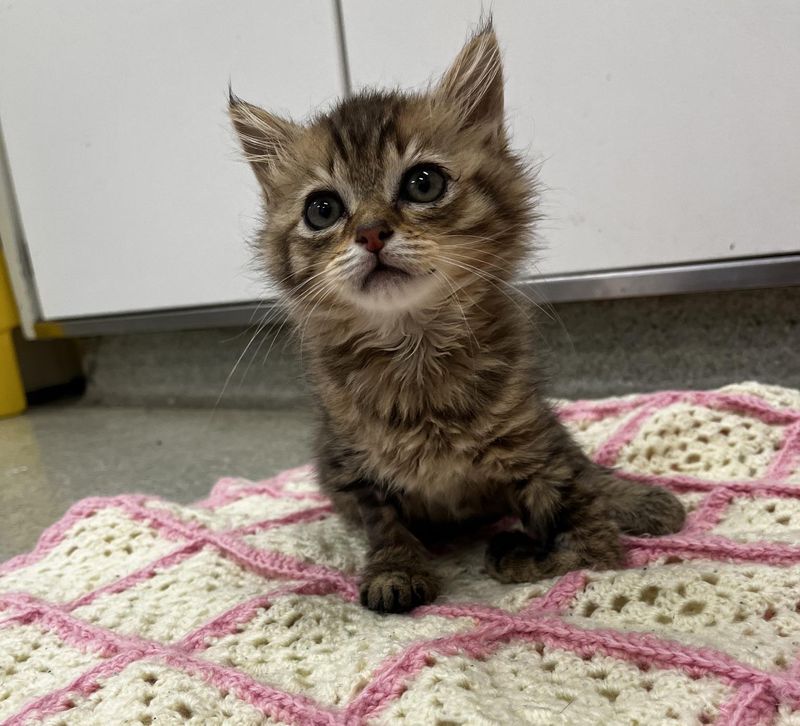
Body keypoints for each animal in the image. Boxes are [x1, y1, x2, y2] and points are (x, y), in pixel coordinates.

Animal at [228, 19, 684, 616]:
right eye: (322, 210)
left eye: (423, 183)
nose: (371, 232)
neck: (416, 347)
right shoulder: (355, 467)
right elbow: (385, 525)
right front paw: (396, 570)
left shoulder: (531, 445)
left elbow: (589, 540)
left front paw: (526, 552)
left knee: (581, 465)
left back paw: (637, 498)